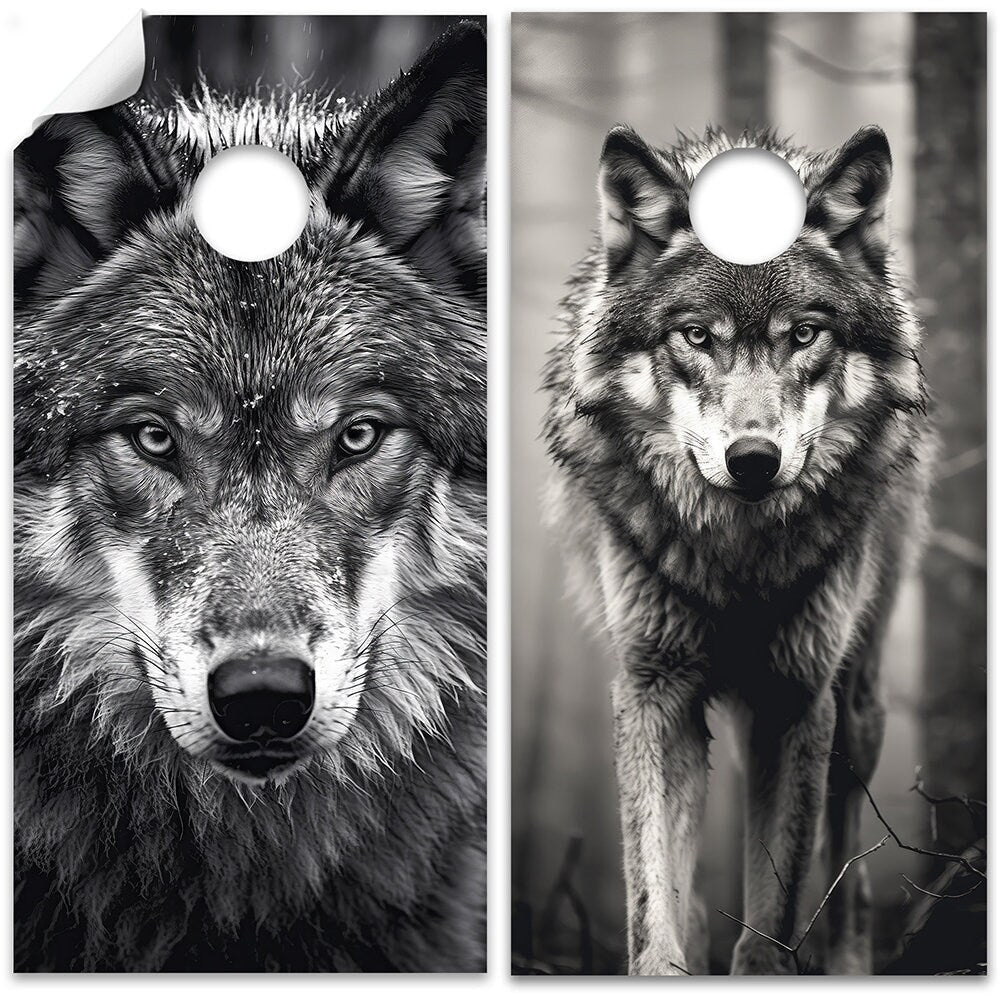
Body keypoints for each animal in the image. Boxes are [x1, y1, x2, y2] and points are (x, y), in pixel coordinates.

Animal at [543, 123, 933, 975]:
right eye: (696, 337)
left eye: (805, 335)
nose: (753, 458)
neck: (737, 561)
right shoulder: (651, 689)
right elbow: (651, 903)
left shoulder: (798, 697)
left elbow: (773, 915)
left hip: (857, 707)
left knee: (848, 857)